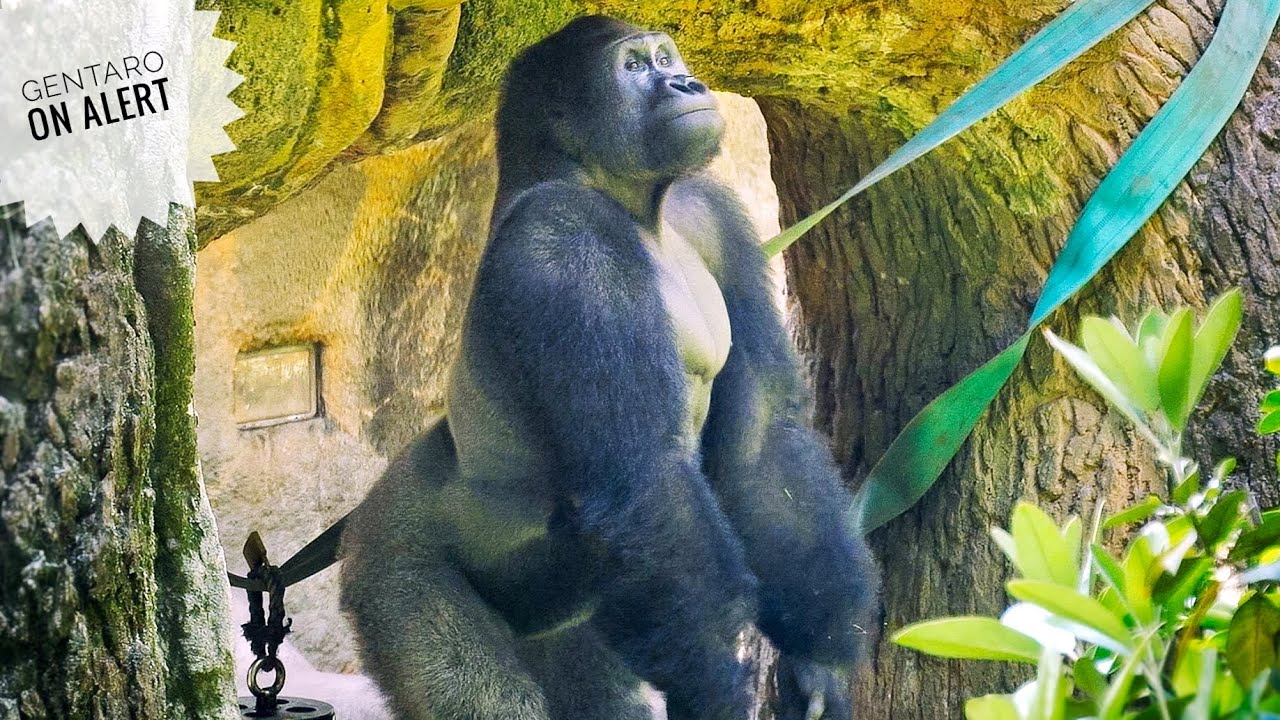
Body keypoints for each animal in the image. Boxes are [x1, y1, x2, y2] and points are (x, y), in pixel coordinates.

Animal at [339, 15, 880, 720]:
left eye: (666, 58)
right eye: (633, 68)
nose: (688, 83)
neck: (635, 204)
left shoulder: (709, 210)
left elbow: (762, 442)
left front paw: (819, 658)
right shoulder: (569, 240)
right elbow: (643, 479)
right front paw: (716, 687)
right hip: (391, 563)